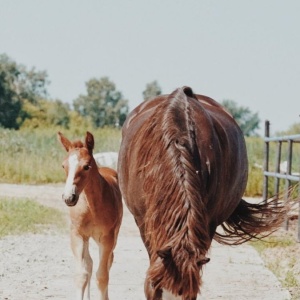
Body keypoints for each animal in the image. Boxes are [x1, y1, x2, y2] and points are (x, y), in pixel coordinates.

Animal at [58, 132, 122, 300]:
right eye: (64, 166)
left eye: (86, 166)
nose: (69, 197)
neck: (92, 208)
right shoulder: (78, 235)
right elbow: (82, 274)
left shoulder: (107, 238)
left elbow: (102, 276)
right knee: (90, 264)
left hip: (112, 237)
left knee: (108, 262)